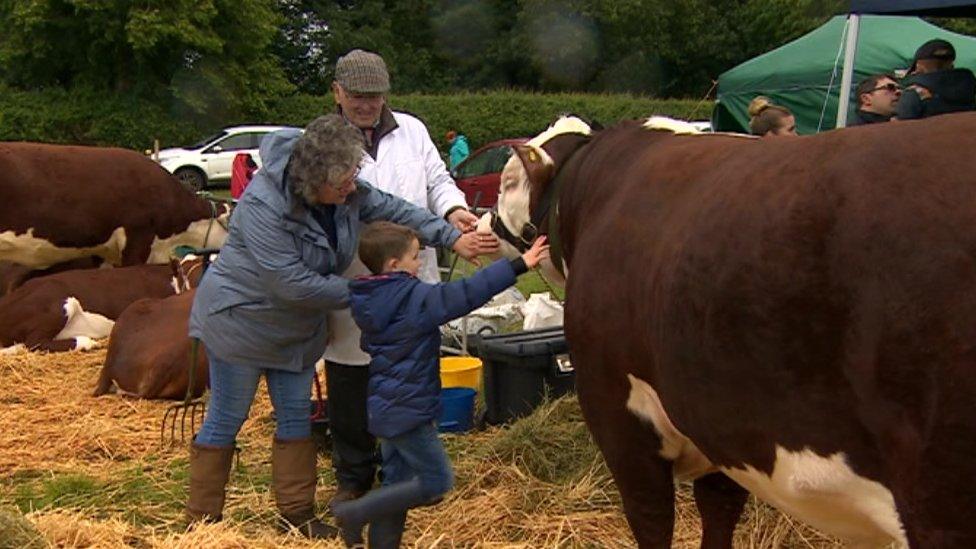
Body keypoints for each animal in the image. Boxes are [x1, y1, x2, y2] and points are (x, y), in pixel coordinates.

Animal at [492, 114, 976, 544]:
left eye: (507, 182)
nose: (482, 222)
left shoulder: (620, 417)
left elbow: (652, 521)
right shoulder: (727, 427)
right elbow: (719, 512)